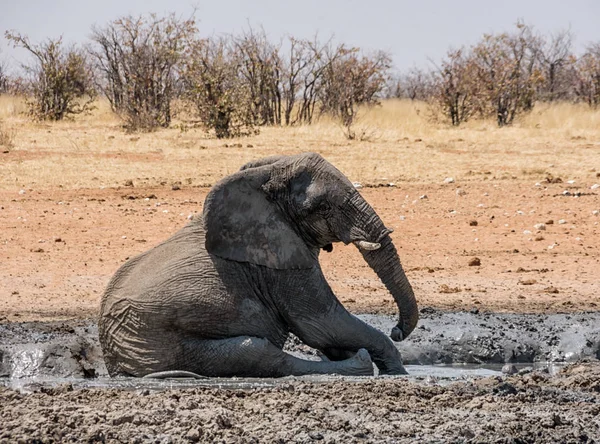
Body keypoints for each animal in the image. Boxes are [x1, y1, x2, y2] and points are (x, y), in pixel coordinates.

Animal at [98, 153, 418, 378]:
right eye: (323, 207)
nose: (396, 330)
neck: (266, 175)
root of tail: (116, 365)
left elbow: (329, 332)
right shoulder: (277, 265)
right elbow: (321, 323)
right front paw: (397, 373)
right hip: (164, 342)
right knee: (258, 353)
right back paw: (359, 364)